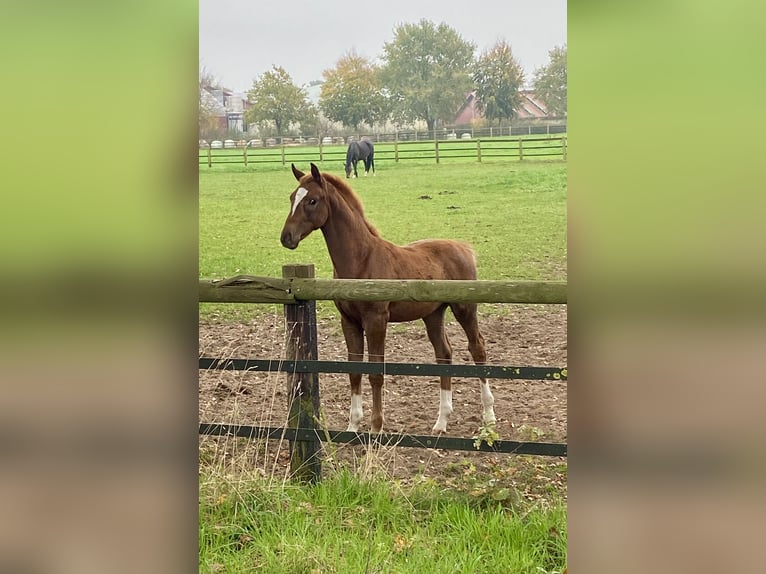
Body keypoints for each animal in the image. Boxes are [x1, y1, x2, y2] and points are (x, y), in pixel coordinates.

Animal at [280, 164, 496, 434]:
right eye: (291, 197)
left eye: (312, 200)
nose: (286, 237)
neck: (362, 259)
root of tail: (464, 247)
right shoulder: (349, 321)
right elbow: (354, 372)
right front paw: (352, 427)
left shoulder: (376, 320)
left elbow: (376, 373)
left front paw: (376, 428)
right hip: (433, 314)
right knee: (443, 353)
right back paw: (441, 422)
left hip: (465, 309)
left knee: (478, 348)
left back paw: (489, 415)